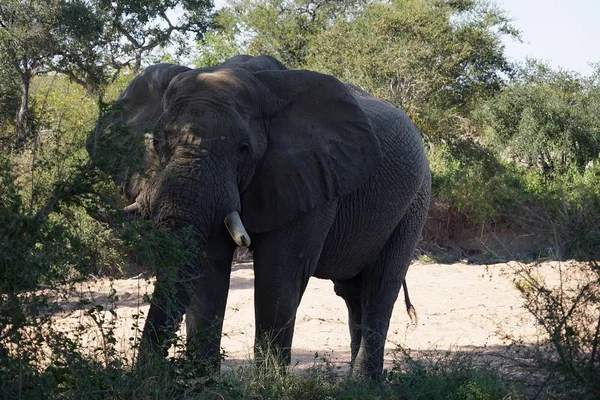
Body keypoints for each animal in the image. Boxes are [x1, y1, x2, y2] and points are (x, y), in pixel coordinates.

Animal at [86, 54, 428, 378]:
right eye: (158, 143)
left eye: (242, 149)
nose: (147, 375)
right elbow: (208, 269)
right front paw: (202, 382)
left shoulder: (310, 178)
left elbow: (279, 272)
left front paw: (269, 385)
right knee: (352, 294)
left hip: (414, 203)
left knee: (379, 288)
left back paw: (362, 385)